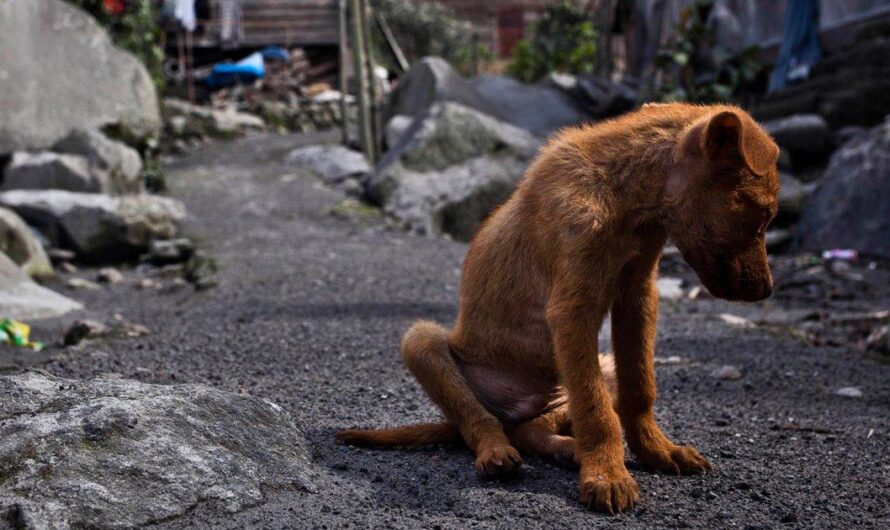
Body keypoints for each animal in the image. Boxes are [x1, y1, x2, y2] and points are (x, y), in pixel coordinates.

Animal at [332, 101, 776, 510]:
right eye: (762, 215)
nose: (768, 291)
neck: (623, 192)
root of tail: (514, 410)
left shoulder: (638, 297)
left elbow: (638, 388)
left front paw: (656, 450)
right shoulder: (572, 310)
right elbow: (598, 412)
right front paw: (608, 475)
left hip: (594, 371)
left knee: (533, 428)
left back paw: (567, 449)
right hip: (422, 342)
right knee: (478, 420)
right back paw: (497, 452)